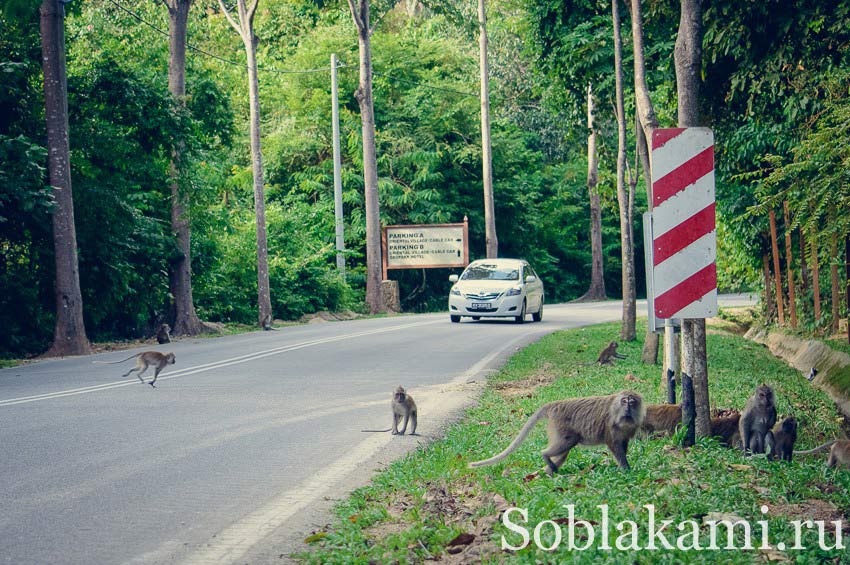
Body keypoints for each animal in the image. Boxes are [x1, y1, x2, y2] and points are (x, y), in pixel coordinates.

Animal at [464, 392, 644, 476]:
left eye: (632, 402)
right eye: (624, 401)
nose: (627, 406)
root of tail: (554, 405)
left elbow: (622, 445)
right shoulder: (611, 425)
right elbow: (613, 445)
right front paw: (626, 469)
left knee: (564, 450)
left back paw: (549, 471)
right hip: (560, 426)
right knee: (568, 442)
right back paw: (546, 457)